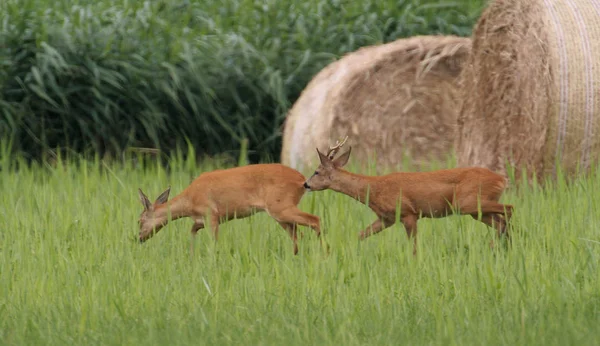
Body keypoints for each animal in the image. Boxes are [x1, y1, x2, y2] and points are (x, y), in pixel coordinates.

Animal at [138, 162, 322, 254]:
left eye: (139, 220)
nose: (139, 238)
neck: (189, 200)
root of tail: (302, 180)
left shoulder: (211, 215)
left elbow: (214, 243)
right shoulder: (200, 220)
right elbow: (192, 232)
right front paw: (191, 256)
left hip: (280, 206)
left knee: (315, 220)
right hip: (280, 213)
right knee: (298, 235)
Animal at [302, 137, 512, 255]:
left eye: (316, 172)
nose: (306, 184)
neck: (372, 189)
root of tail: (502, 179)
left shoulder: (408, 213)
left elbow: (414, 247)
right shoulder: (386, 218)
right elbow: (360, 235)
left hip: (467, 203)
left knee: (509, 209)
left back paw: (499, 244)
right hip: (476, 210)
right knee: (501, 221)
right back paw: (500, 247)